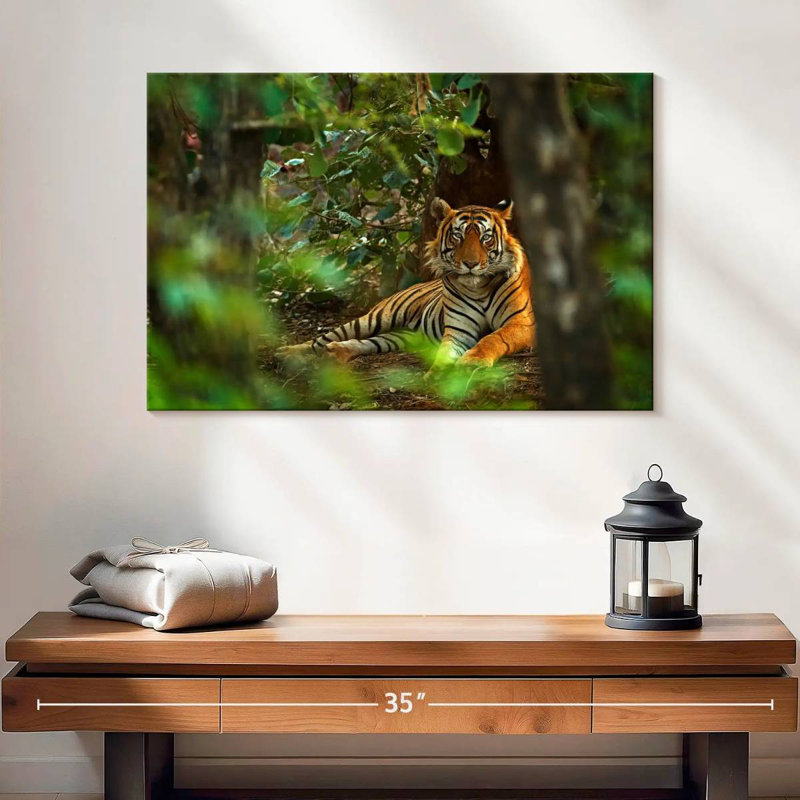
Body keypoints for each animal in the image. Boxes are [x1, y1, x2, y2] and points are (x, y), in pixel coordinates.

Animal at [276, 198, 536, 370]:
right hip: (376, 318)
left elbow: (493, 338)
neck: (478, 286)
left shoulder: (522, 322)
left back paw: (336, 352)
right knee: (322, 338)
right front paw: (439, 373)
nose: (470, 264)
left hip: (402, 336)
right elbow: (445, 351)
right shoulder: (459, 329)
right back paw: (287, 353)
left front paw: (472, 361)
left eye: (486, 238)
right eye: (457, 236)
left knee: (366, 343)